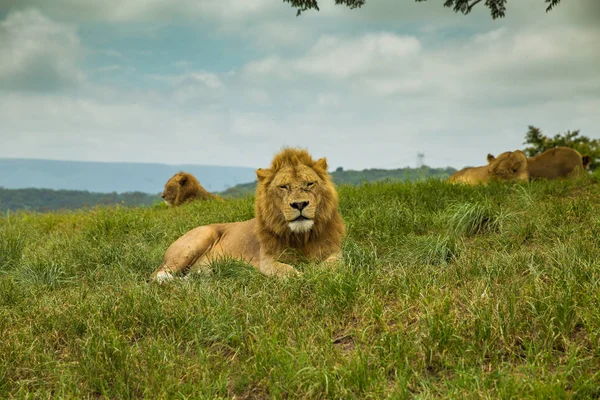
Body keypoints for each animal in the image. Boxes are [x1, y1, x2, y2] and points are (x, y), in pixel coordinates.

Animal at [150, 147, 346, 282]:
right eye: (283, 187)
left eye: (309, 184)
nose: (299, 204)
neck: (301, 237)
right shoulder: (267, 261)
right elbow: (285, 270)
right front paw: (300, 276)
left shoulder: (335, 253)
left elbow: (333, 265)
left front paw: (319, 273)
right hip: (199, 238)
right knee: (157, 275)